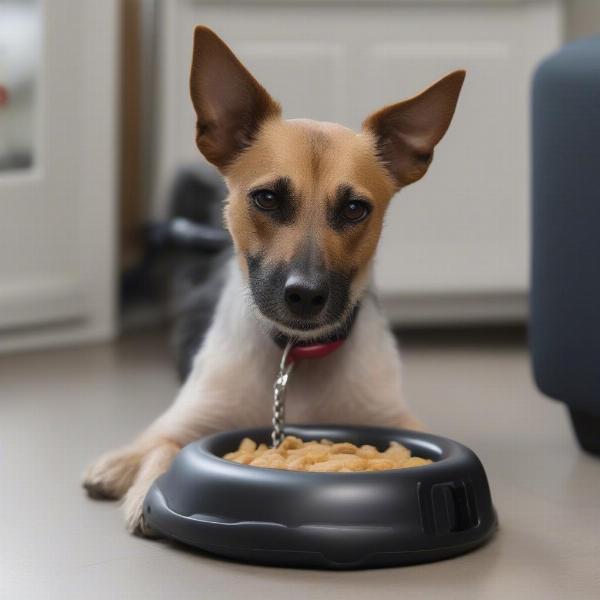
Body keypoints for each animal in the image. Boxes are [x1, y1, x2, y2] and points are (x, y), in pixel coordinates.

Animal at [83, 27, 464, 536]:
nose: (305, 295)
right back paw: (119, 463)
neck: (294, 357)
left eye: (355, 209)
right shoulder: (194, 415)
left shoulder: (393, 417)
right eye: (266, 199)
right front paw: (147, 484)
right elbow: (164, 445)